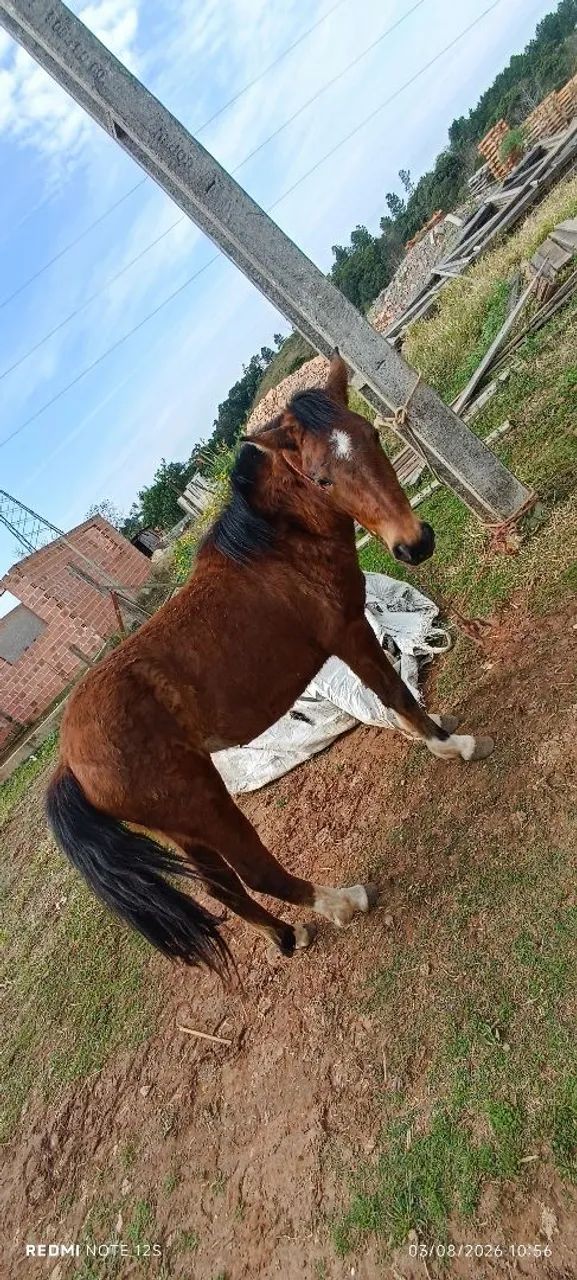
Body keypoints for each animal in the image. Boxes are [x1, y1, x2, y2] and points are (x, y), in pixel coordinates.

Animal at [46, 353, 493, 976]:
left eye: (373, 435)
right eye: (322, 477)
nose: (414, 544)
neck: (275, 548)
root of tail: (70, 762)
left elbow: (389, 696)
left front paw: (434, 730)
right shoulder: (347, 631)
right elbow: (391, 692)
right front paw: (453, 746)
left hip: (183, 828)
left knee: (226, 891)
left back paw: (288, 936)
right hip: (205, 807)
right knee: (255, 873)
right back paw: (344, 902)